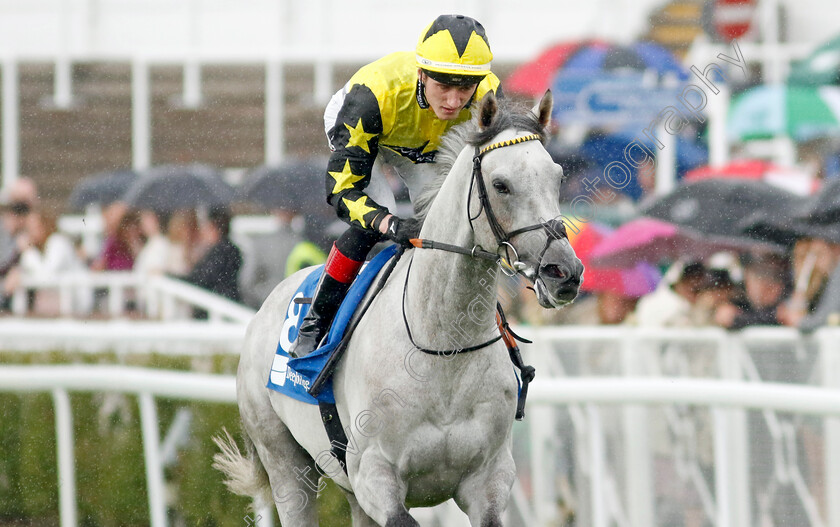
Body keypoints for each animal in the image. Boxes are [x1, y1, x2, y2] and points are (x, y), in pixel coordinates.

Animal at [215, 93, 584, 524]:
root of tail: (264, 307)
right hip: (285, 462)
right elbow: (345, 191)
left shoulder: (490, 478)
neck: (442, 345)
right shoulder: (376, 477)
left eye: (557, 176)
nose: (564, 272)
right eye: (501, 185)